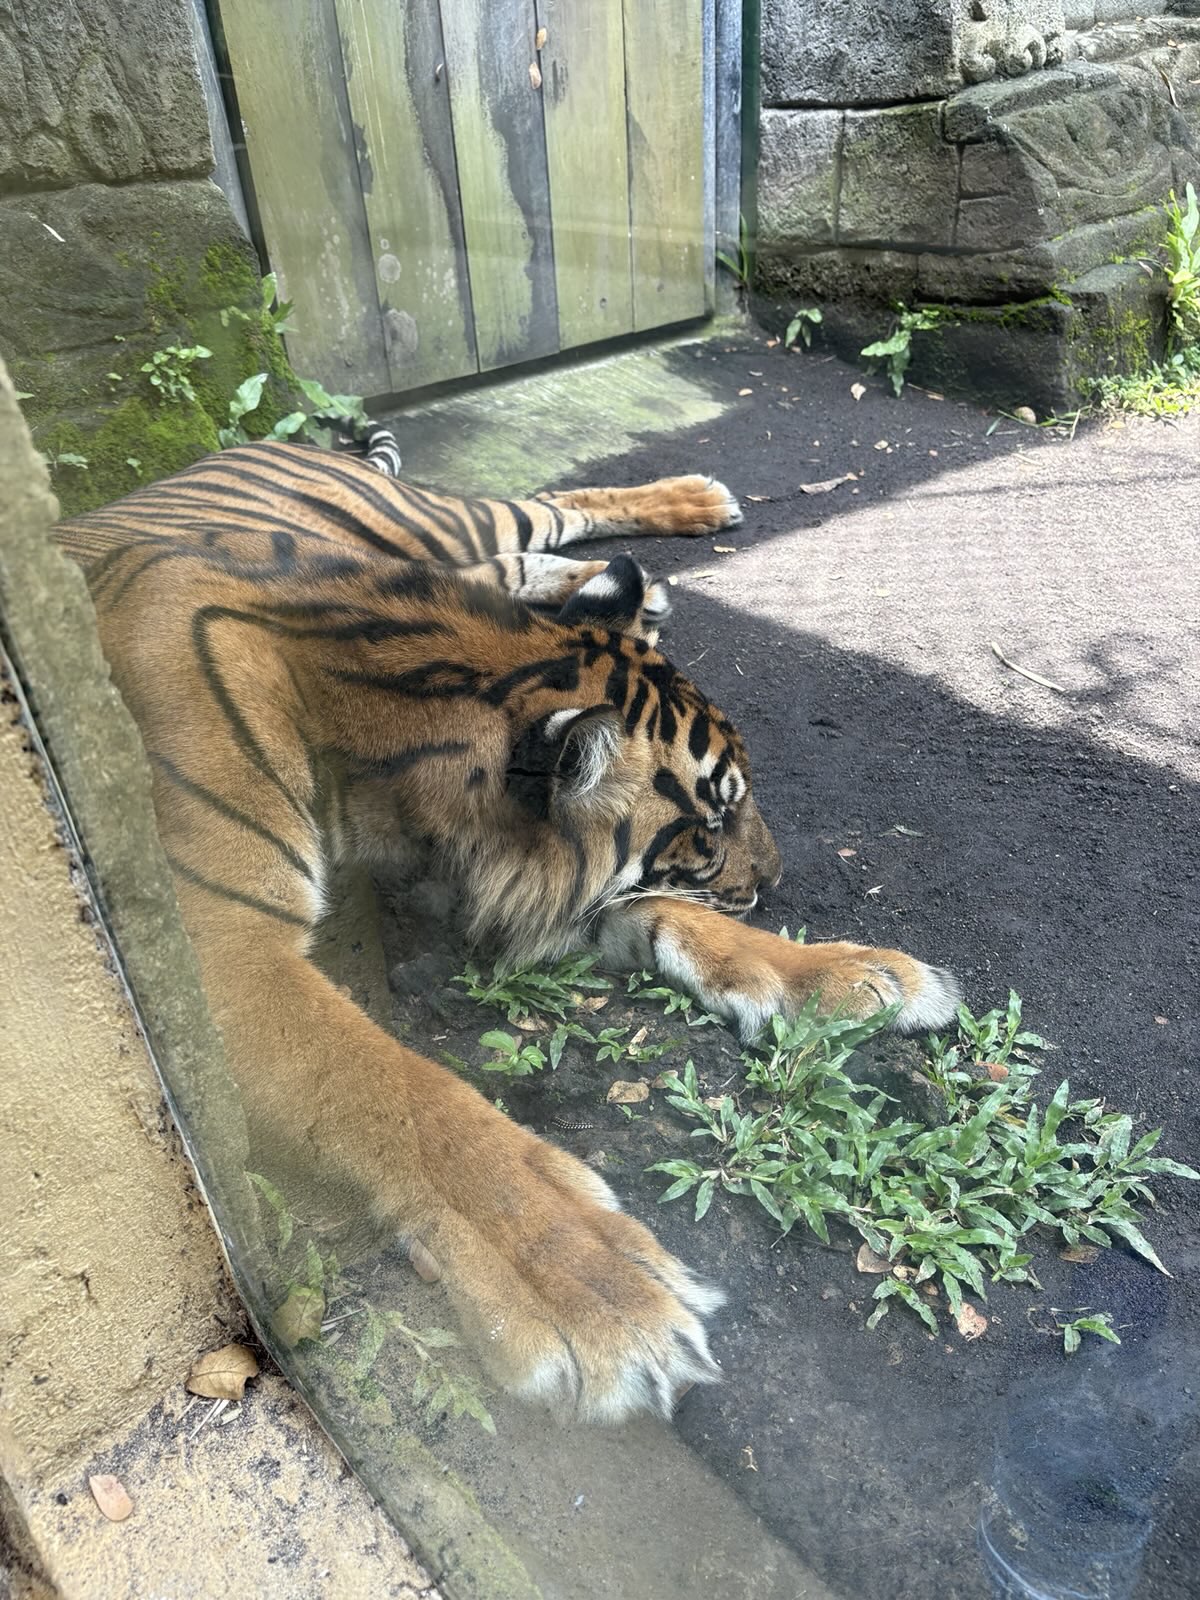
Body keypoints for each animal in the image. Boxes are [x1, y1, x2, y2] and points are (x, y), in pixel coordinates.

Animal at [54, 421, 960, 1423]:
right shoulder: (222, 956)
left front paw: (858, 975)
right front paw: (599, 1295)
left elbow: (680, 923)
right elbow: (408, 1101)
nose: (776, 878)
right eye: (714, 820)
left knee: (550, 509)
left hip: (436, 519)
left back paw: (679, 524)